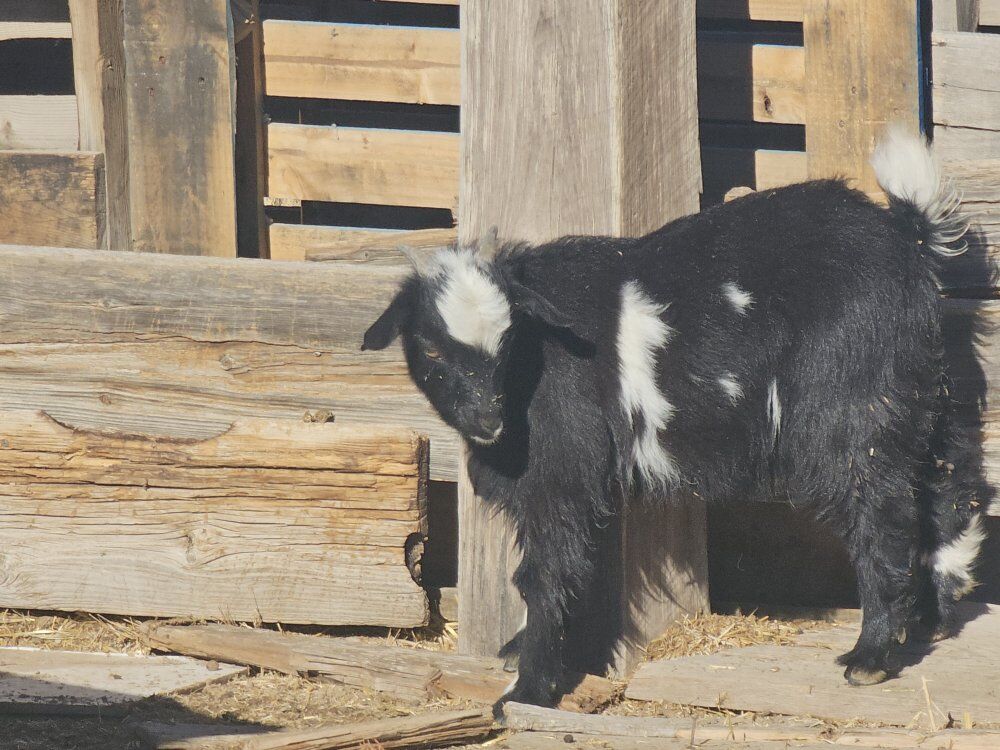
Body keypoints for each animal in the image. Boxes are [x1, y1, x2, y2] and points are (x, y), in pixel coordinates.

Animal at [362, 128, 984, 715]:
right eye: (430, 350)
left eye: (510, 340)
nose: (488, 420)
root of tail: (906, 238)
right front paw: (519, 656)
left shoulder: (562, 472)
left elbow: (546, 572)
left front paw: (528, 690)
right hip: (914, 395)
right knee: (951, 488)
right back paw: (929, 619)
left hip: (854, 412)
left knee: (882, 517)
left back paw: (870, 655)